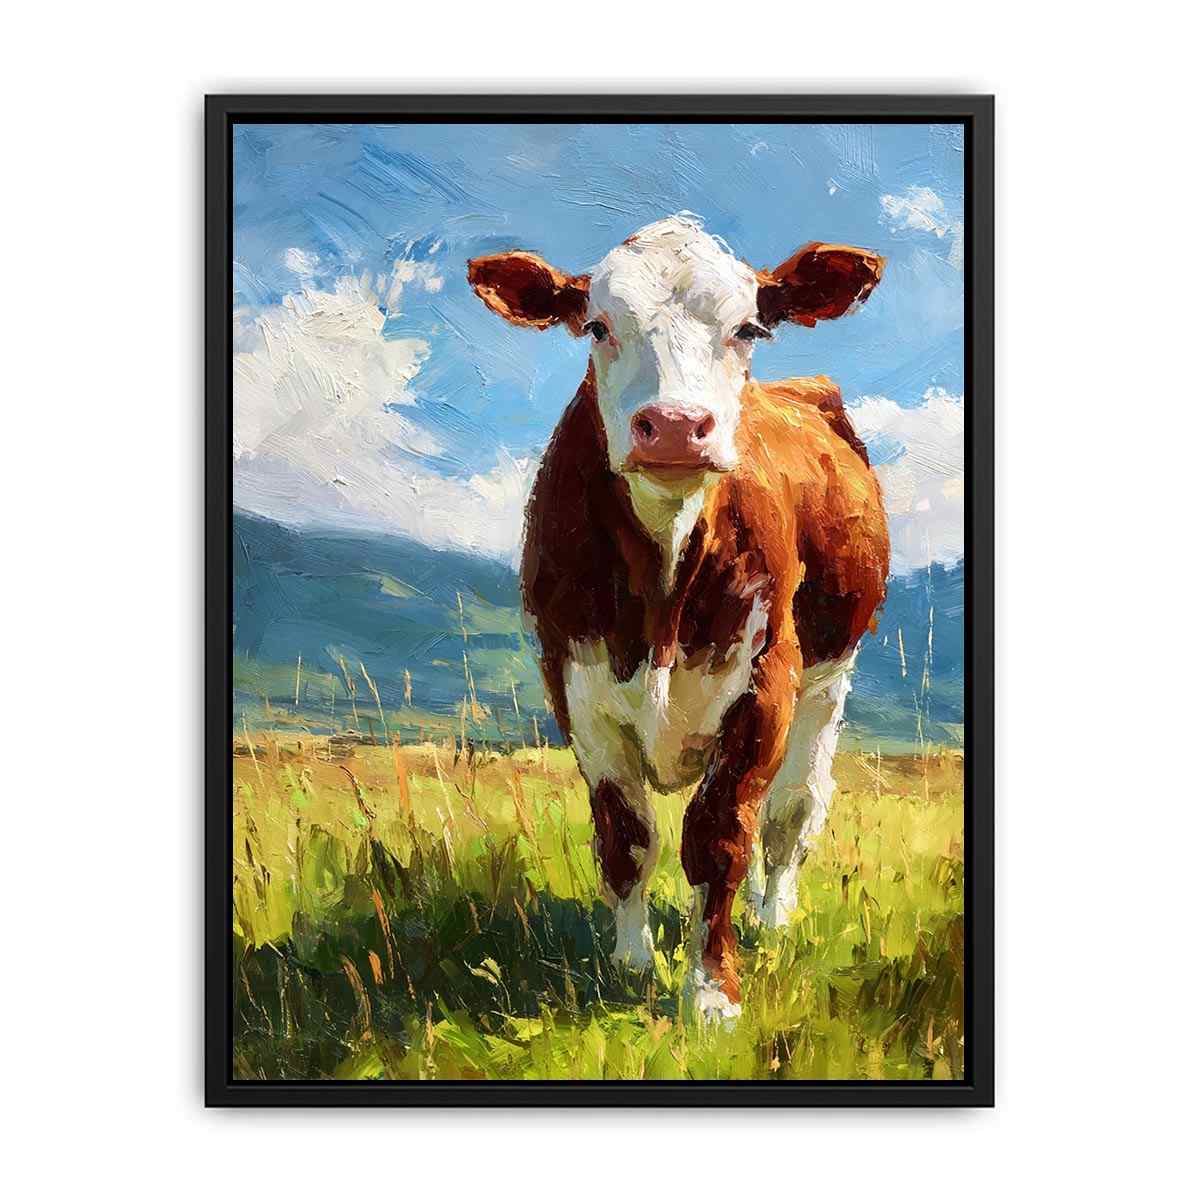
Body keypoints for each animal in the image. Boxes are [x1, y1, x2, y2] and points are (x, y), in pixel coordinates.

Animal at [468, 214, 889, 1024]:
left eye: (749, 327)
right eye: (597, 325)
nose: (671, 426)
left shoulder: (767, 685)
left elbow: (719, 839)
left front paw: (712, 993)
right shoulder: (576, 689)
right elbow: (626, 838)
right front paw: (630, 964)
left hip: (829, 683)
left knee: (789, 817)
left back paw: (771, 919)